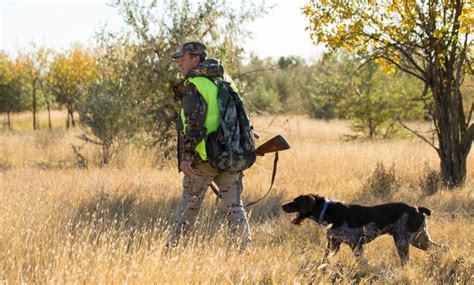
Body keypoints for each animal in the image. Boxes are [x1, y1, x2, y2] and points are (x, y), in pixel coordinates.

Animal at [282, 193, 440, 264]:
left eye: (295, 201)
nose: (283, 205)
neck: (329, 212)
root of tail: (418, 208)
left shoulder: (356, 244)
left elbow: (362, 262)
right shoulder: (333, 244)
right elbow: (324, 260)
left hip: (402, 241)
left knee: (406, 261)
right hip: (419, 240)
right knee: (439, 248)